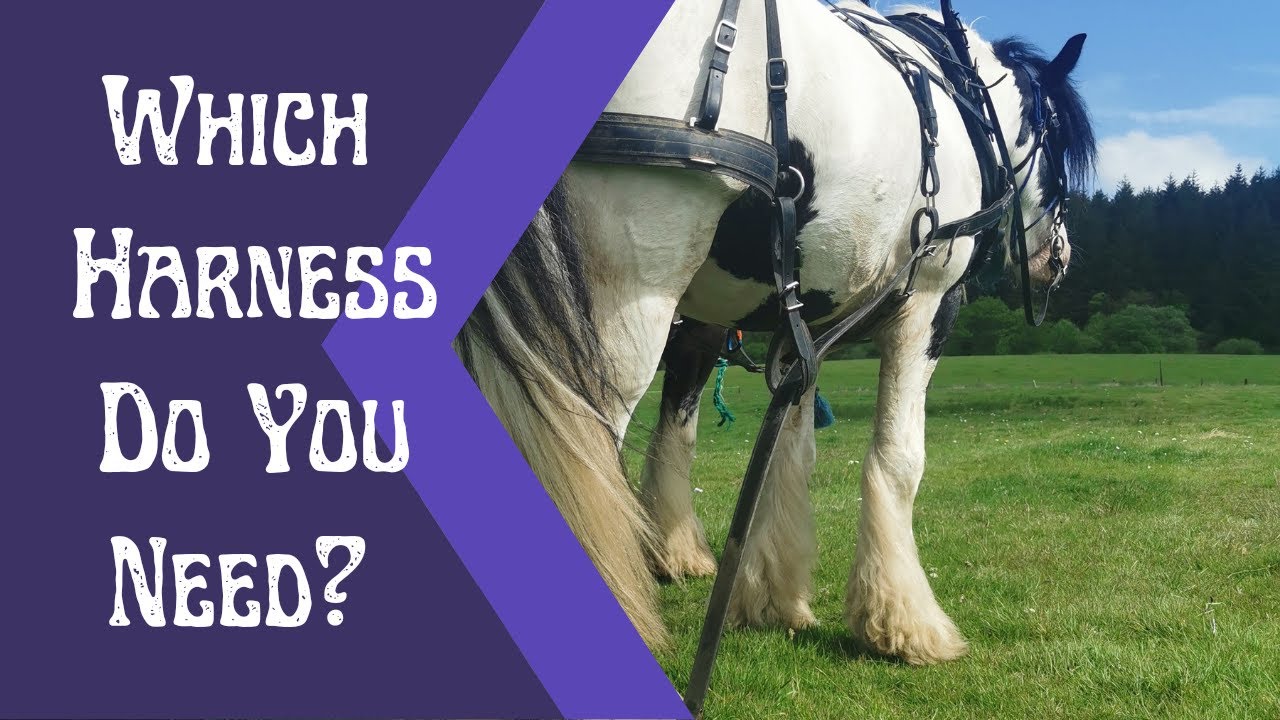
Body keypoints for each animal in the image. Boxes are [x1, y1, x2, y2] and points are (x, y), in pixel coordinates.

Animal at [456, 0, 1095, 666]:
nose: (1059, 258)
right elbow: (898, 460)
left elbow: (790, 452)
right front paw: (903, 623)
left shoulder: (804, 324)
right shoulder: (927, 303)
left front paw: (770, 596)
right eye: (1055, 142)